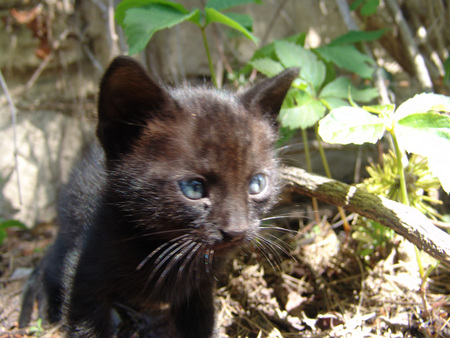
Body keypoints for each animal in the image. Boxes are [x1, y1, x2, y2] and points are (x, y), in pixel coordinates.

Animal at [18, 56, 298, 336]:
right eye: (193, 188)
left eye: (257, 184)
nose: (236, 231)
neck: (158, 247)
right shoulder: (84, 278)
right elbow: (86, 326)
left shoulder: (200, 288)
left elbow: (201, 321)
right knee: (50, 261)